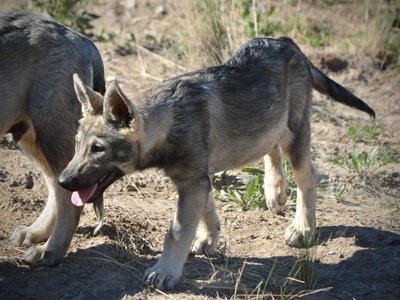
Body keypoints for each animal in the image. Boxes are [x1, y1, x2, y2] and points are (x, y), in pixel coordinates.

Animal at [0, 11, 105, 264]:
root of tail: (83, 41)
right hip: (33, 134)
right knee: (55, 185)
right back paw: (35, 232)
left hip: (50, 130)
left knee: (68, 198)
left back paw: (49, 252)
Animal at [59, 37, 376, 288]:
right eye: (76, 145)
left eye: (98, 149)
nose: (63, 181)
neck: (169, 120)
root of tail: (286, 41)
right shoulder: (198, 178)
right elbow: (207, 211)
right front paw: (209, 239)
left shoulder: (193, 181)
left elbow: (176, 231)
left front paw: (165, 271)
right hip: (268, 127)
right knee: (271, 147)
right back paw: (275, 191)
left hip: (296, 135)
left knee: (308, 176)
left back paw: (302, 228)